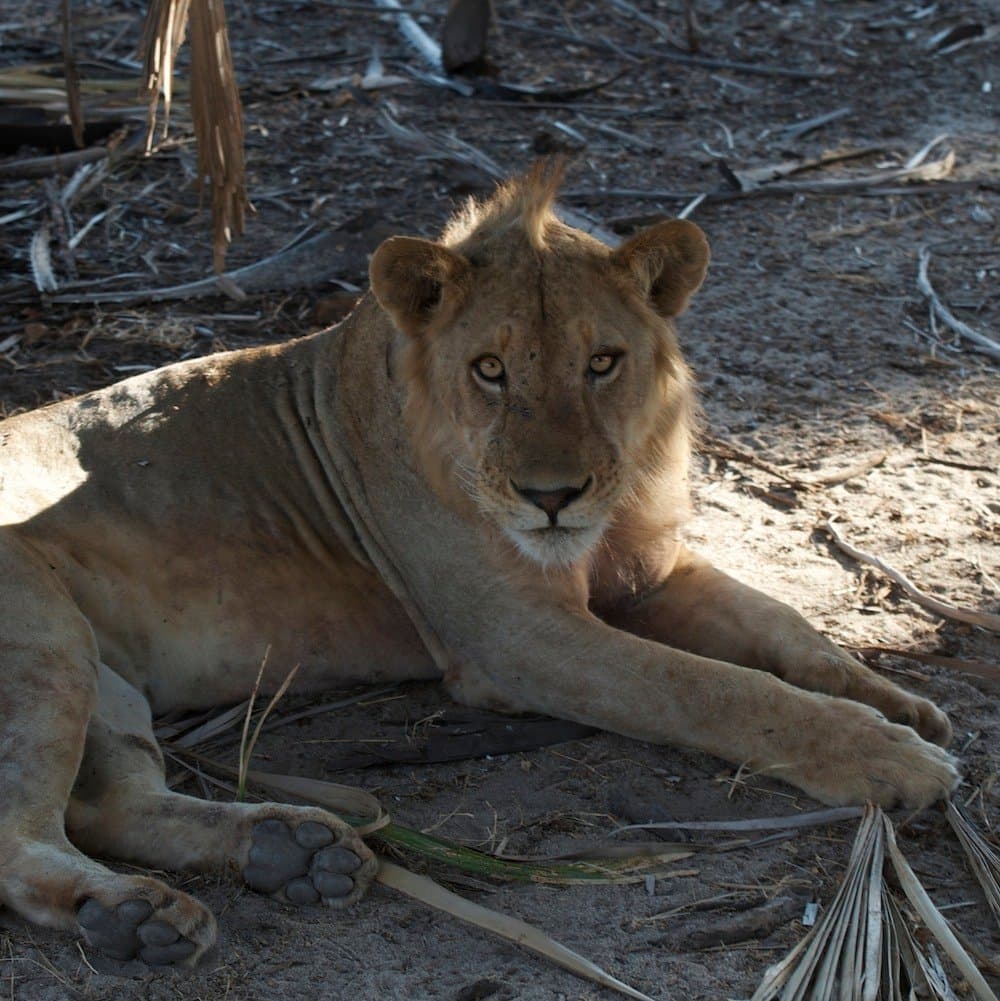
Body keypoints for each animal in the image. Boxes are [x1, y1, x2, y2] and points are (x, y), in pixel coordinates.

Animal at [0, 164, 957, 966]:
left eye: (601, 361)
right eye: (490, 369)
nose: (552, 495)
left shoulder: (647, 573)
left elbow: (786, 627)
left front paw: (899, 701)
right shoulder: (517, 640)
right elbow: (719, 690)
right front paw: (891, 758)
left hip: (107, 682)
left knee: (110, 802)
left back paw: (287, 855)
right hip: (45, 645)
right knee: (22, 838)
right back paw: (128, 914)